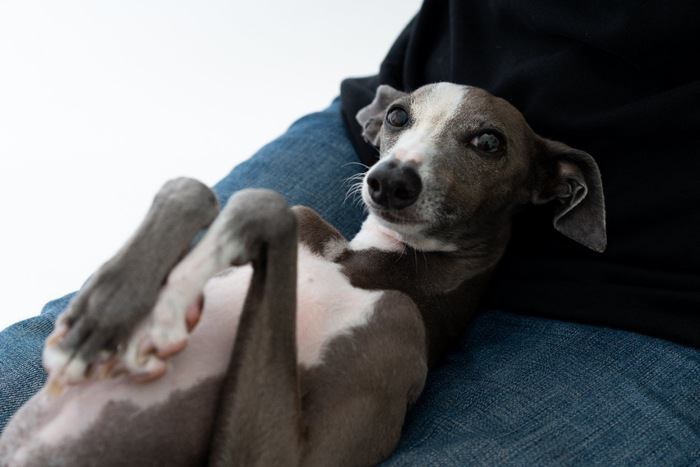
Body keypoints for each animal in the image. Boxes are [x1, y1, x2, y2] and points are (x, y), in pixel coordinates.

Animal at [0, 82, 600, 466]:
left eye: (489, 141)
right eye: (398, 116)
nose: (390, 181)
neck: (368, 267)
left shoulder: (381, 350)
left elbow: (261, 200)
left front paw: (154, 319)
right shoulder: (305, 222)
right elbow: (199, 190)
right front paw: (100, 320)